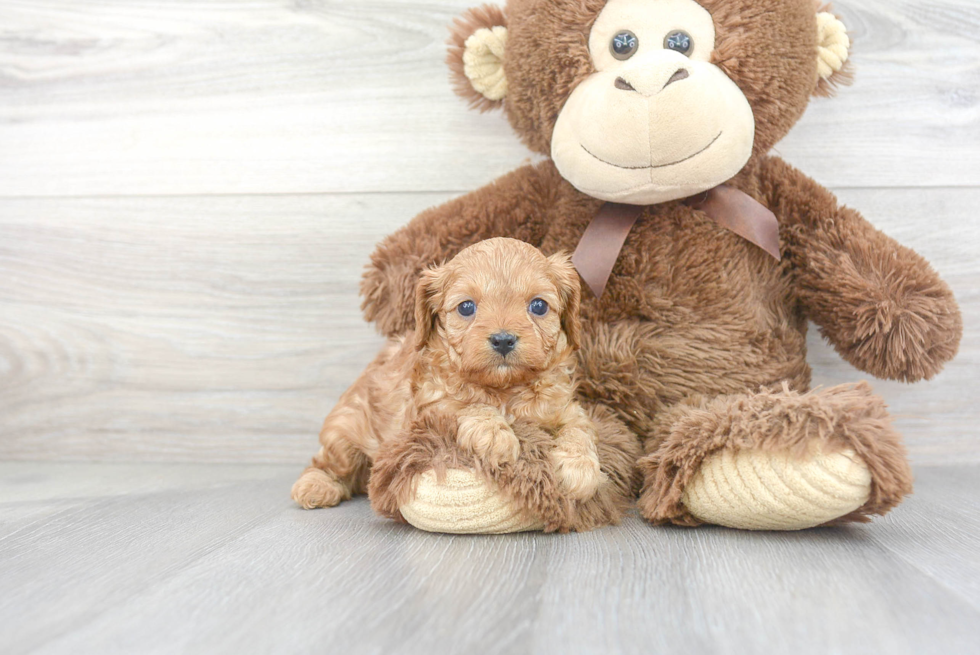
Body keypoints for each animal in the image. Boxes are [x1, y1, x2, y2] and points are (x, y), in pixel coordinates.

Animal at [292, 238, 604, 520]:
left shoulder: (564, 407)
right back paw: (316, 486)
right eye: (466, 307)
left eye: (538, 306)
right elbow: (466, 406)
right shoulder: (429, 409)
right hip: (345, 431)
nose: (503, 340)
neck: (504, 389)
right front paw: (495, 435)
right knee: (327, 463)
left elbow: (579, 428)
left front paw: (580, 469)